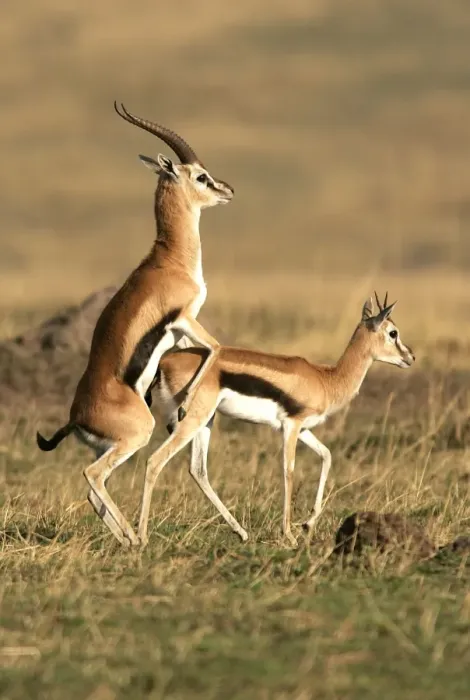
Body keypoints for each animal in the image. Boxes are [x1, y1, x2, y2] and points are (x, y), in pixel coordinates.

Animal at [36, 102, 233, 547]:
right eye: (201, 176)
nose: (228, 190)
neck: (171, 259)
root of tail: (78, 416)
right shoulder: (186, 318)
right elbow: (215, 347)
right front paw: (185, 401)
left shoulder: (180, 333)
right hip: (135, 437)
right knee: (93, 477)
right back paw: (136, 538)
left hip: (109, 447)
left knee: (94, 492)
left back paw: (126, 539)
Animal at [137, 293, 415, 547]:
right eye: (393, 333)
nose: (410, 357)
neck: (325, 379)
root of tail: (164, 362)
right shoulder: (290, 426)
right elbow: (288, 472)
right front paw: (290, 534)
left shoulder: (303, 428)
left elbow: (326, 455)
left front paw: (308, 524)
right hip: (193, 419)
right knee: (154, 461)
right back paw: (140, 537)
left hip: (206, 420)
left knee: (197, 469)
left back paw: (241, 532)